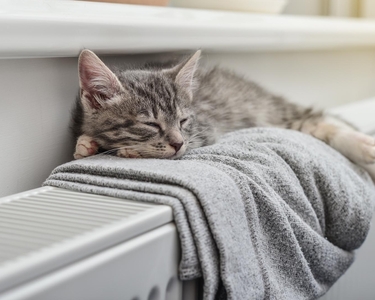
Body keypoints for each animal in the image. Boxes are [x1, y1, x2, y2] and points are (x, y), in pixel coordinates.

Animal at [72, 49, 375, 180]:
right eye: (150, 123)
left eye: (183, 120)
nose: (177, 143)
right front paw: (87, 143)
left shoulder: (205, 128)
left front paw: (131, 150)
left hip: (272, 110)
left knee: (319, 120)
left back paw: (363, 145)